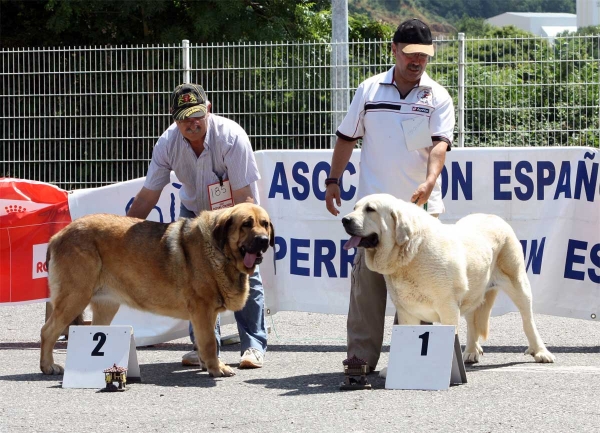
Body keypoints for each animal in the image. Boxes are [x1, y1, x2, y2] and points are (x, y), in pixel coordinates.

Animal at [37, 202, 272, 374]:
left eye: (265, 224)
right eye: (246, 224)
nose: (263, 240)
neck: (220, 250)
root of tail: (57, 236)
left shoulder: (205, 314)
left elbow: (206, 341)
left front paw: (208, 365)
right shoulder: (203, 310)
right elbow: (209, 343)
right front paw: (216, 369)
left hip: (105, 305)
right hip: (75, 297)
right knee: (48, 331)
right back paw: (48, 366)